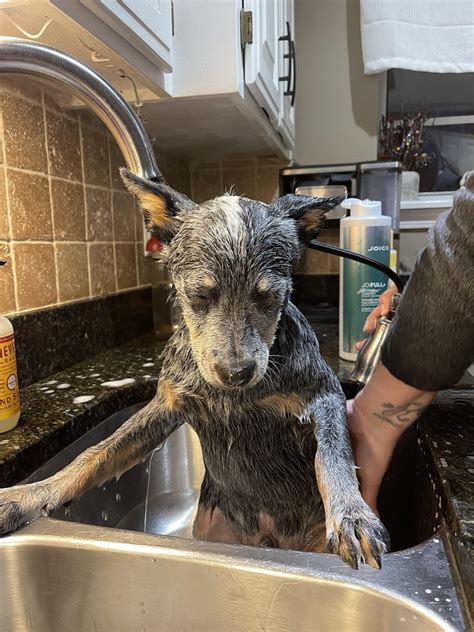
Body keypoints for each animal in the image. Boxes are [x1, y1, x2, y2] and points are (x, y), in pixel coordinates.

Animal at [0, 170, 388, 572]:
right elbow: (93, 456)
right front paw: (27, 495)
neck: (234, 397)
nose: (237, 373)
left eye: (270, 297)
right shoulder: (165, 406)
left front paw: (350, 513)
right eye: (199, 295)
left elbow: (333, 454)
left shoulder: (325, 393)